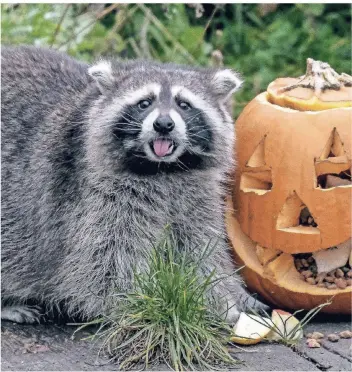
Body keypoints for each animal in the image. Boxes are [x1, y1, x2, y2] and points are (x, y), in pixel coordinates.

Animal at [0, 46, 264, 324]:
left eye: (184, 104)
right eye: (144, 102)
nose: (163, 124)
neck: (163, 170)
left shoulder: (196, 194)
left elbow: (201, 248)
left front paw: (223, 295)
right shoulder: (94, 196)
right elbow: (105, 262)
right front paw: (141, 305)